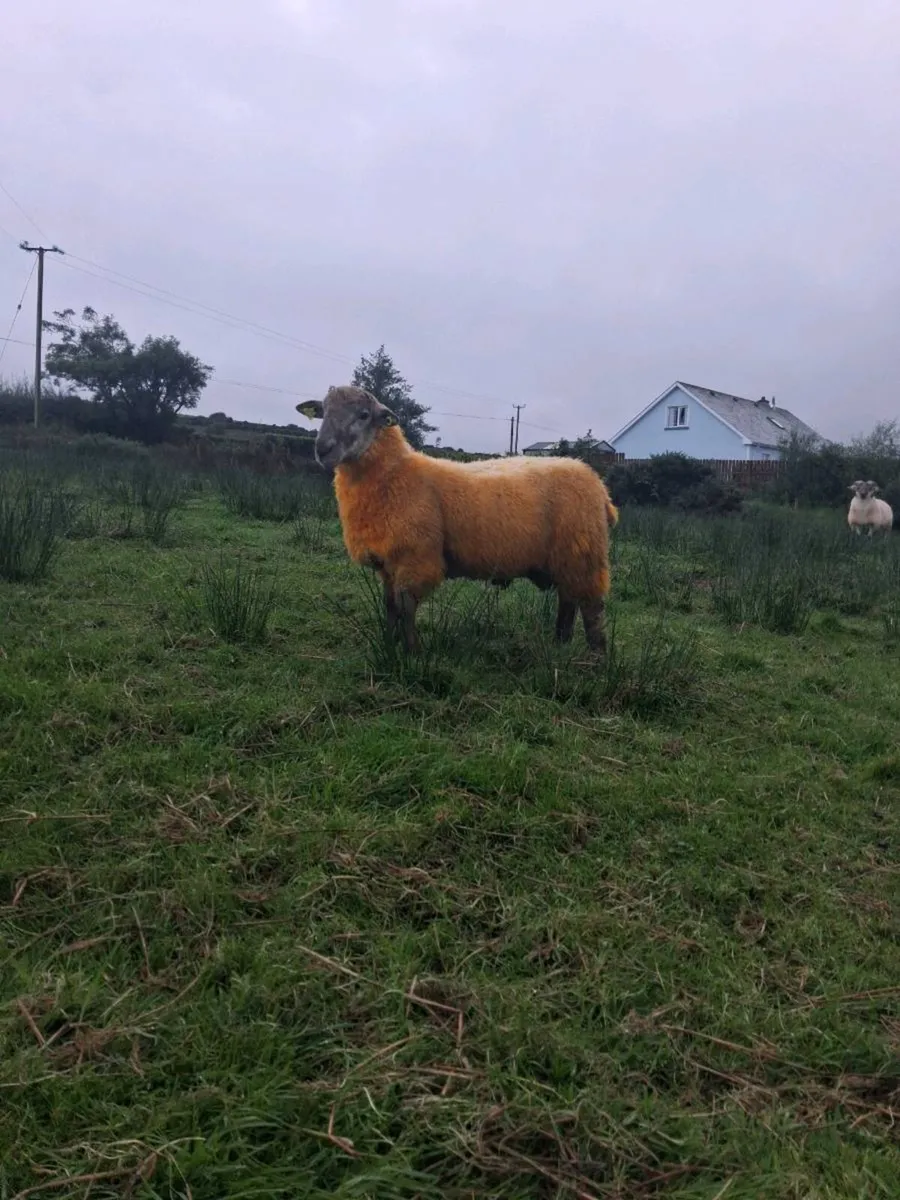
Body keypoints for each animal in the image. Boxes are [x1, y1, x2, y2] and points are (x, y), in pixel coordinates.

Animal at [297, 385, 618, 655]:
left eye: (364, 415)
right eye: (323, 412)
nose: (322, 449)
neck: (397, 473)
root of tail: (596, 482)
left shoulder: (417, 557)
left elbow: (406, 606)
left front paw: (412, 653)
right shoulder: (388, 561)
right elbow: (389, 606)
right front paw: (389, 644)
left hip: (584, 554)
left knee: (593, 610)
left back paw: (596, 661)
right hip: (568, 557)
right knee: (568, 601)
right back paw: (559, 646)